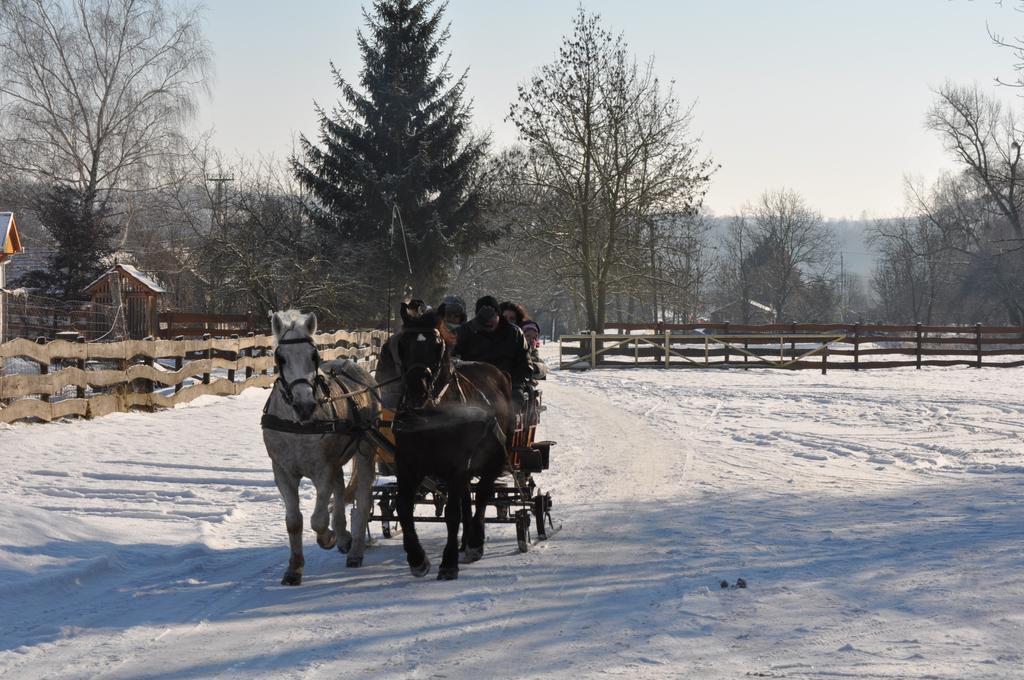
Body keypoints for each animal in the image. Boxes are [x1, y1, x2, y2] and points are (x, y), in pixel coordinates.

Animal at [262, 311, 378, 585]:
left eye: (313, 355)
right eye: (280, 357)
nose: (305, 405)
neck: (298, 425)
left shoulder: (322, 470)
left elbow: (318, 519)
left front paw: (328, 537)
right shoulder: (282, 472)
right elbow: (294, 521)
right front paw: (294, 568)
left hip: (365, 452)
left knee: (362, 499)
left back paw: (355, 549)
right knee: (340, 488)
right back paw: (344, 536)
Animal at [395, 303, 516, 577]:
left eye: (437, 345)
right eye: (402, 343)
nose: (417, 388)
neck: (430, 414)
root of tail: (498, 372)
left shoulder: (457, 465)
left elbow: (452, 514)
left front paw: (448, 563)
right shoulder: (407, 465)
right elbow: (404, 508)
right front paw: (417, 559)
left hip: (493, 457)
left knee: (481, 496)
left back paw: (474, 543)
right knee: (466, 498)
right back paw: (465, 541)